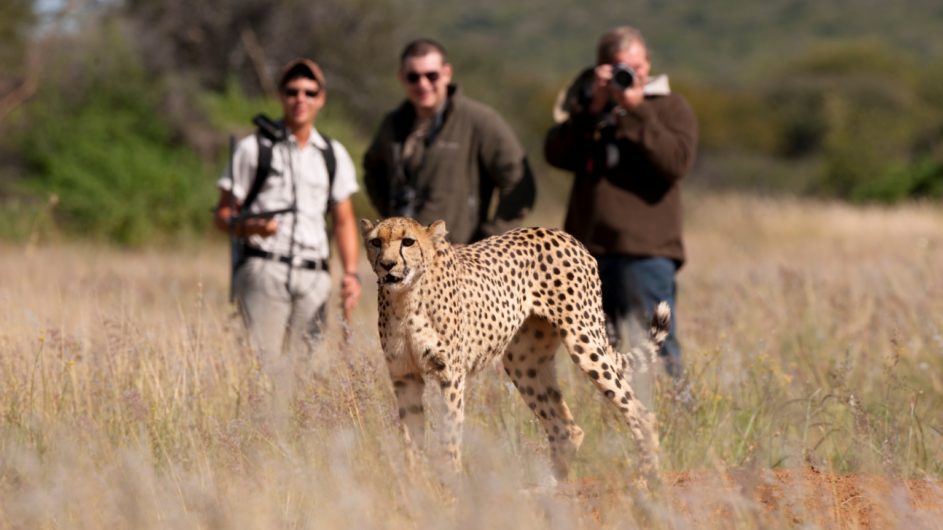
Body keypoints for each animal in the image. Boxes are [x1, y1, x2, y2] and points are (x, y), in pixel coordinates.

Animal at [362, 217, 672, 480]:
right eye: (376, 241)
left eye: (408, 241)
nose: (387, 264)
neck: (405, 298)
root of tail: (560, 233)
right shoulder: (405, 376)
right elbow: (411, 436)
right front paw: (415, 485)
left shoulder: (450, 374)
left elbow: (449, 434)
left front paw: (449, 483)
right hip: (524, 362)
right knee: (566, 429)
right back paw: (547, 491)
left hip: (583, 342)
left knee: (641, 413)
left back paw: (647, 479)